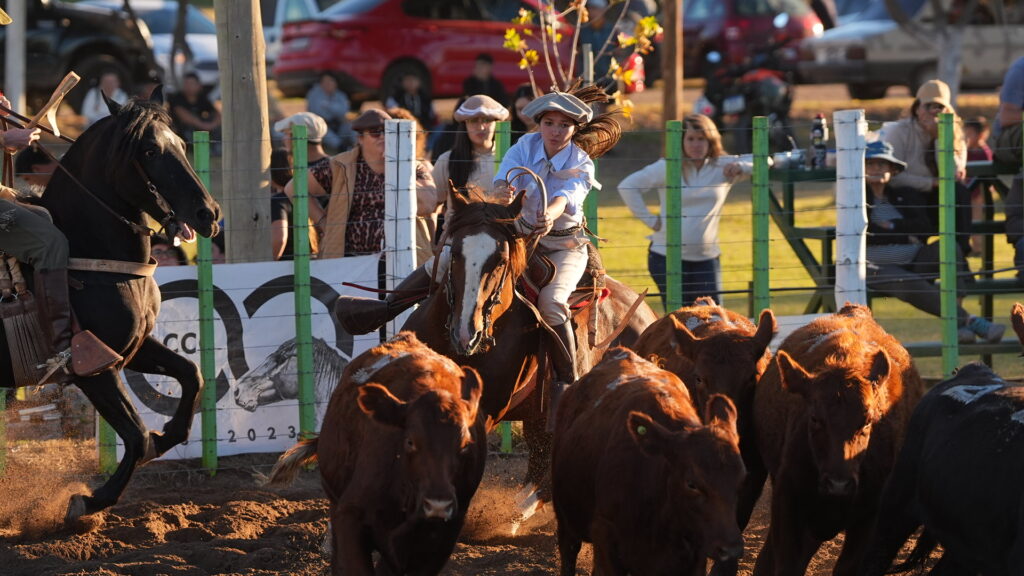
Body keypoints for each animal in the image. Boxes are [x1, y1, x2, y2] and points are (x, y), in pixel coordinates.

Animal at [0, 89, 222, 521]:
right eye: (150, 150)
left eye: (181, 143)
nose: (208, 213)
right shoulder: (94, 370)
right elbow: (136, 436)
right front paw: (87, 501)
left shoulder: (131, 348)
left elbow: (191, 375)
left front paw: (167, 436)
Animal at [551, 346, 746, 576]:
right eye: (691, 484)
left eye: (741, 479)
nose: (731, 549)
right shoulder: (605, 540)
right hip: (565, 519)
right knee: (568, 552)